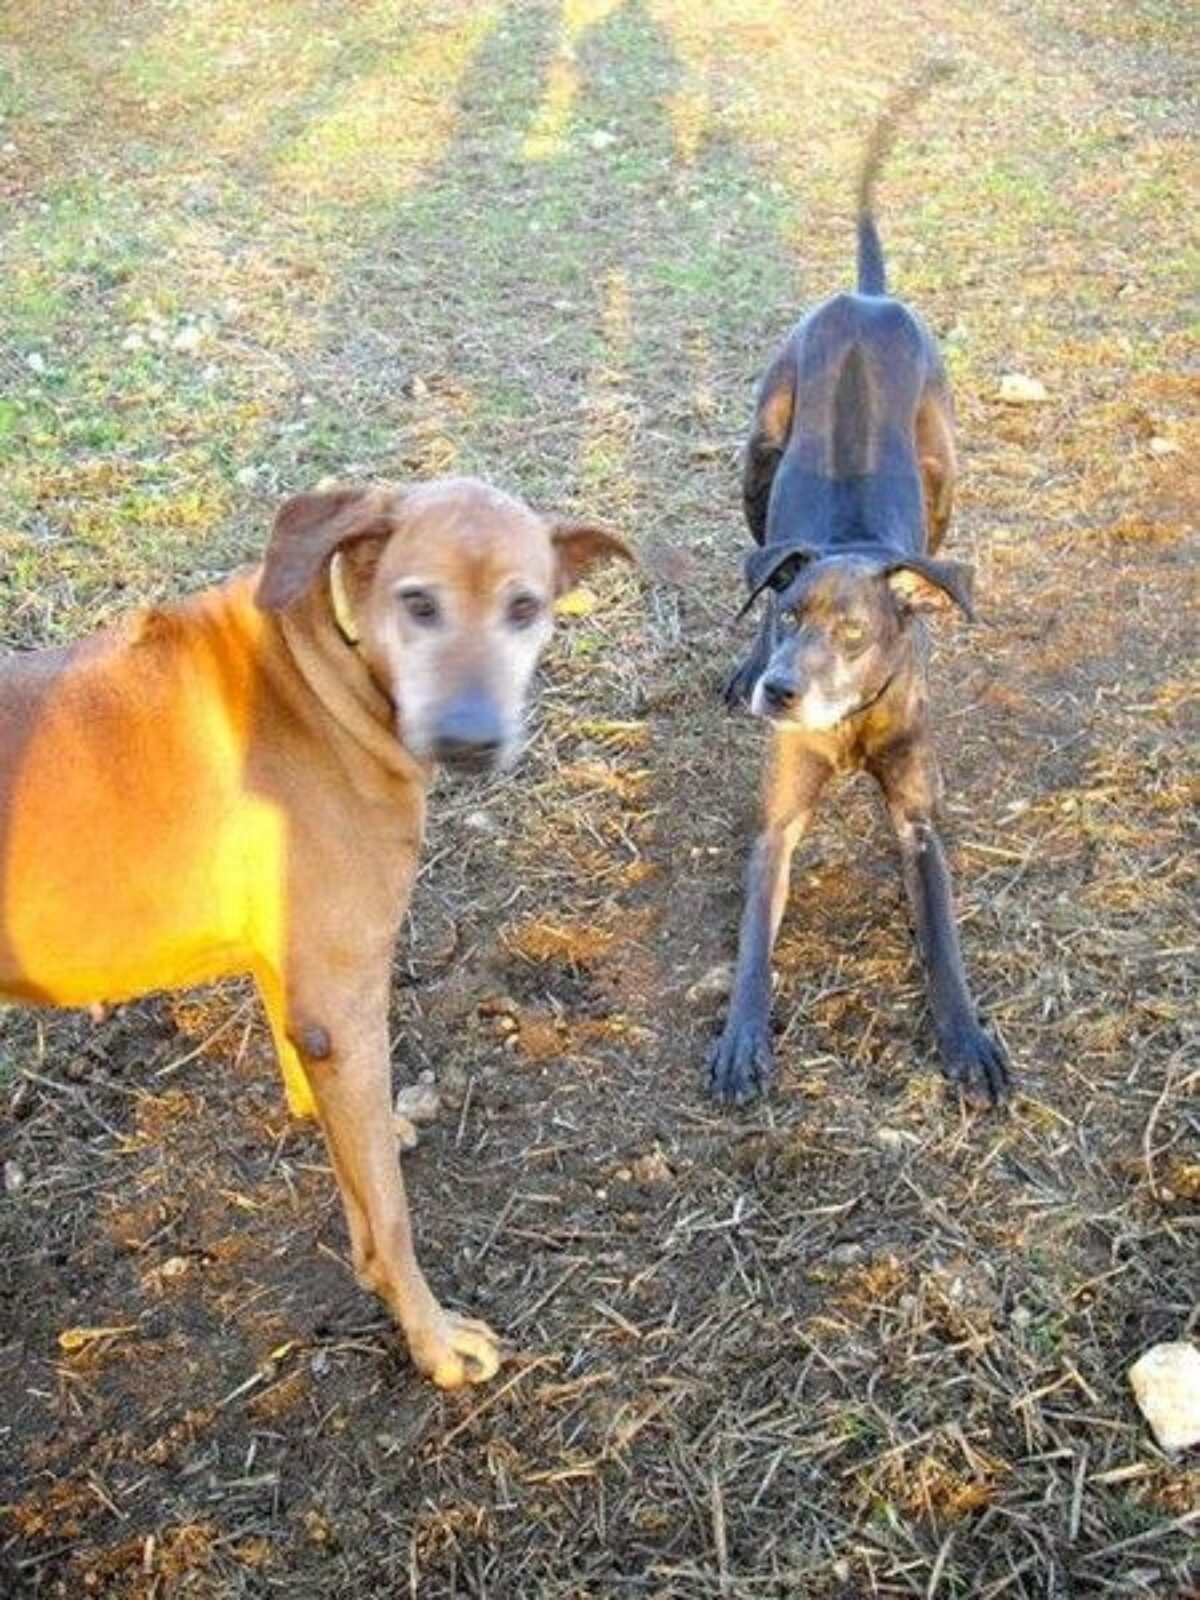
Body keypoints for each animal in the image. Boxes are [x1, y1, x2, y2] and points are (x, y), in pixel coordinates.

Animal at [0, 473, 630, 1388]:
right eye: (418, 602)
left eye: (525, 607)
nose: (472, 738)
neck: (324, 663)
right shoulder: (345, 998)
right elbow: (388, 1215)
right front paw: (433, 1338)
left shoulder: (300, 982)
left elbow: (329, 1110)